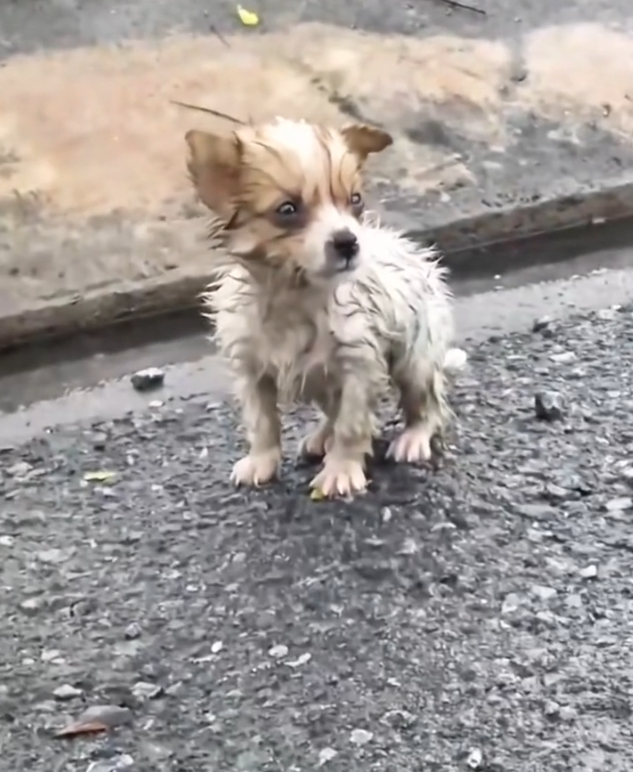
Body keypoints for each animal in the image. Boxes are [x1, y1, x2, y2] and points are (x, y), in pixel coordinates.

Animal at [185, 117, 465, 498]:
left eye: (355, 200)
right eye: (288, 210)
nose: (349, 242)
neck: (296, 295)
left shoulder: (360, 365)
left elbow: (351, 424)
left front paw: (341, 470)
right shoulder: (252, 369)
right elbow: (262, 422)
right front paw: (261, 461)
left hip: (416, 355)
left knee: (426, 403)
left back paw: (414, 437)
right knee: (331, 411)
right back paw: (321, 438)